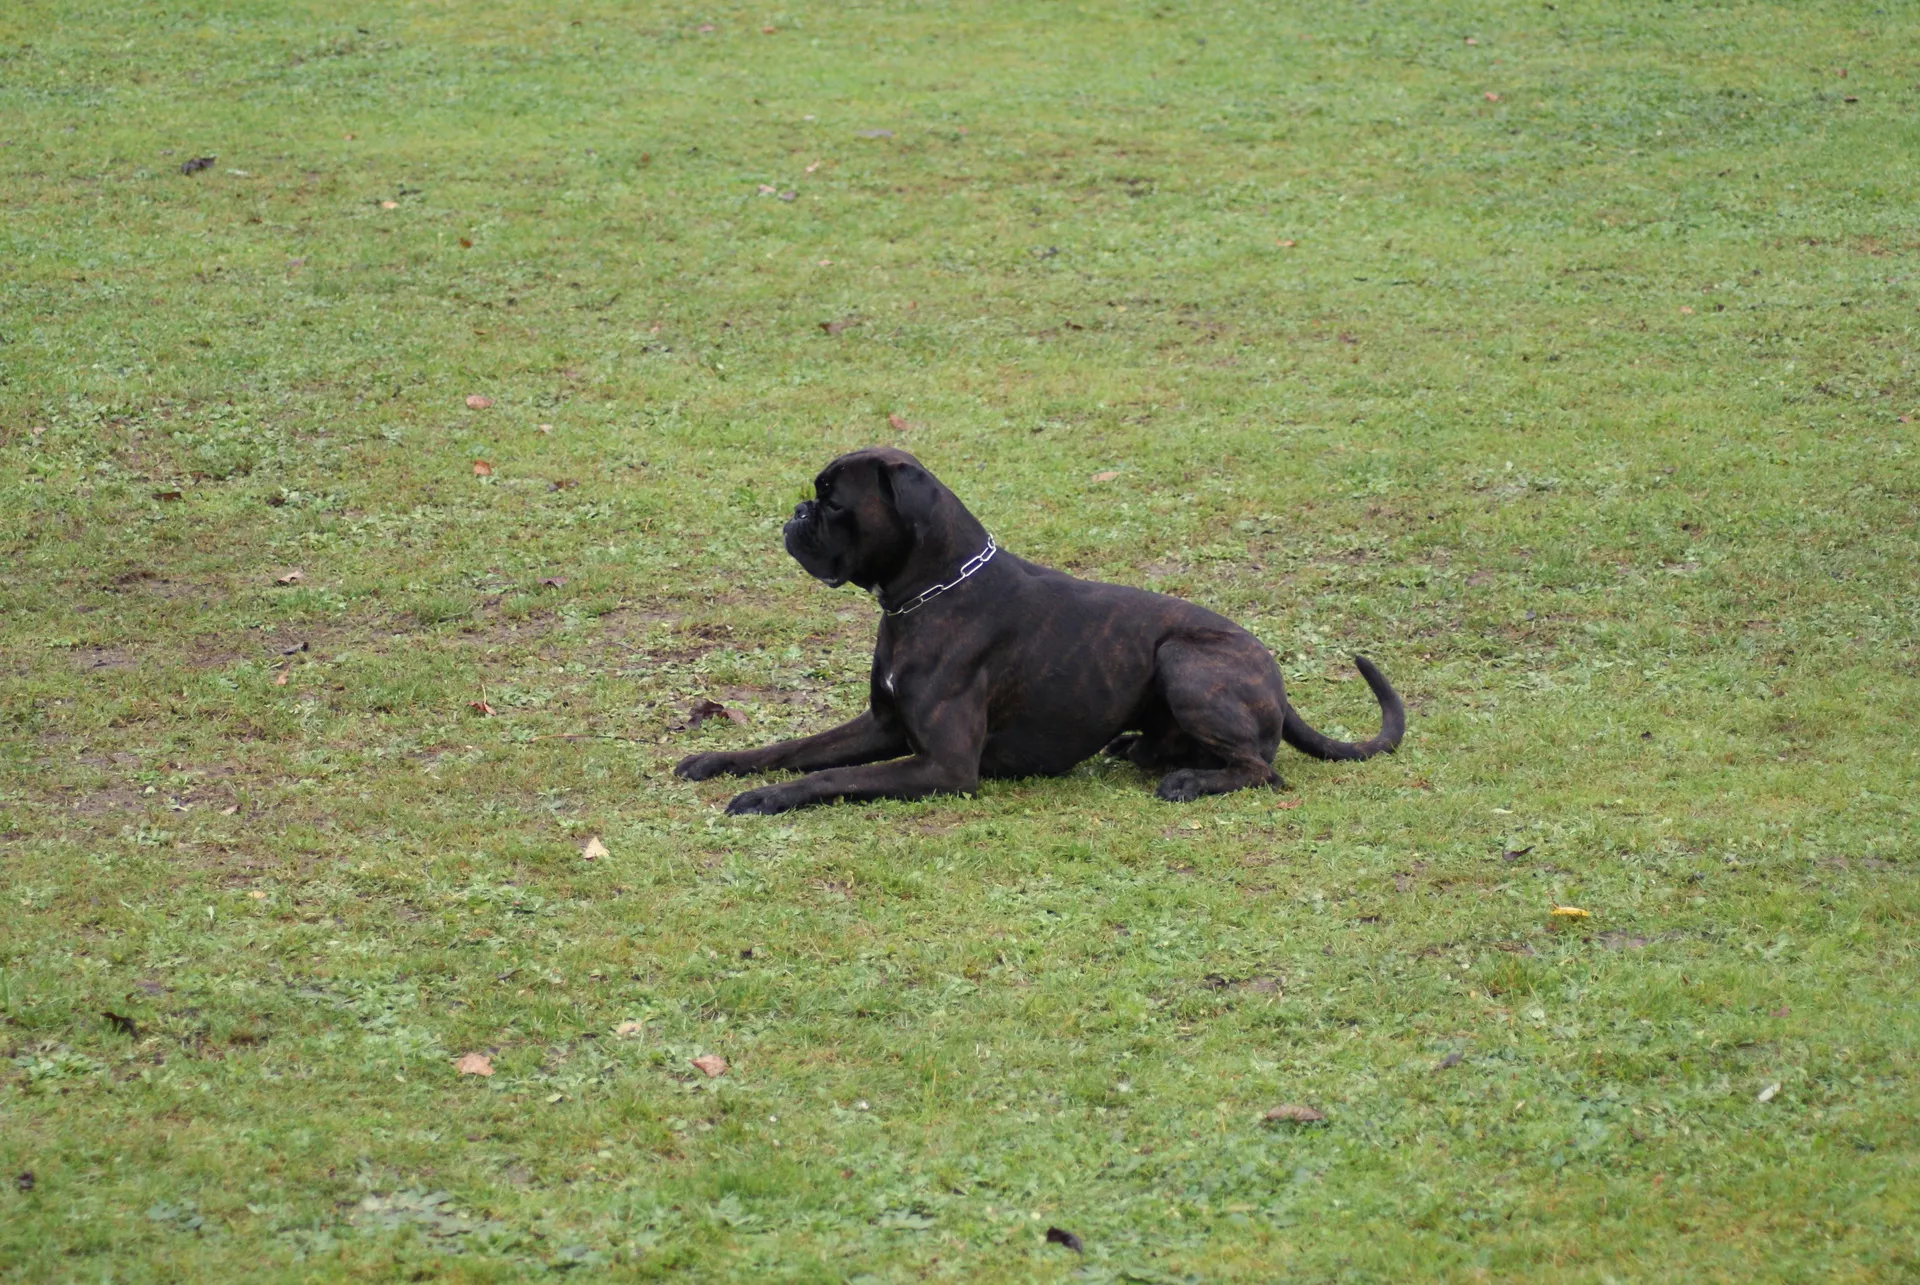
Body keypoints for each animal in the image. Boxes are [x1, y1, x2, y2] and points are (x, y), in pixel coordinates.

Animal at [675, 447, 1405, 814]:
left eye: (833, 501)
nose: (797, 511)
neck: (932, 592)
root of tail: (1275, 677)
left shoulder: (943, 765)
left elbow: (829, 778)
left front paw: (767, 796)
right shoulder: (882, 726)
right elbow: (795, 746)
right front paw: (720, 759)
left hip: (1183, 657)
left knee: (1261, 769)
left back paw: (1191, 781)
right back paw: (1144, 750)